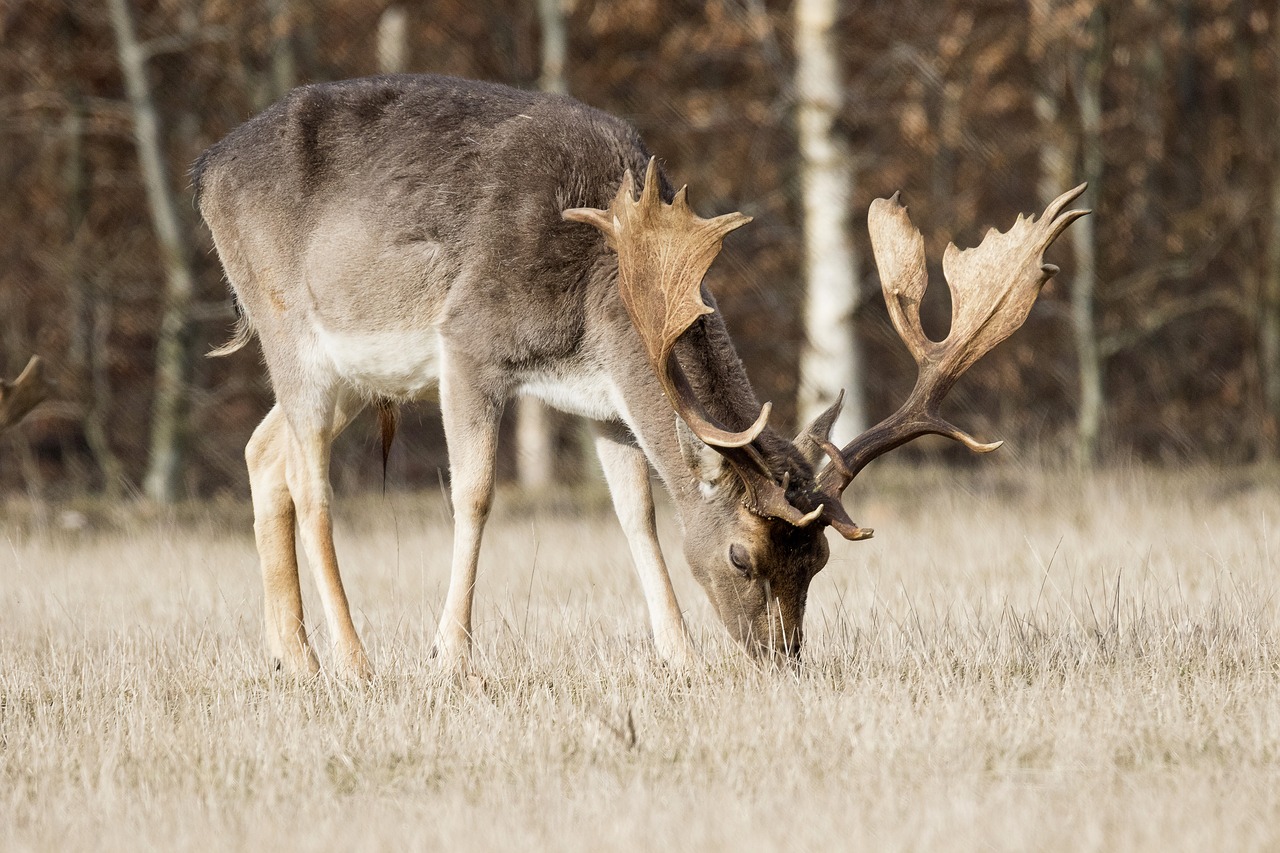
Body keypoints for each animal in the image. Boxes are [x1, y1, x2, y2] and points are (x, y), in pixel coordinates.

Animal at [194, 74, 1085, 676]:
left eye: (820, 562)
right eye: (741, 557)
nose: (781, 659)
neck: (600, 287)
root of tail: (205, 167)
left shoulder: (601, 399)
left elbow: (637, 515)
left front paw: (679, 656)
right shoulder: (468, 341)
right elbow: (474, 494)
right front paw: (451, 656)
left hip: (354, 374)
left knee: (263, 452)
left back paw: (293, 657)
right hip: (288, 324)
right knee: (312, 483)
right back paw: (352, 658)